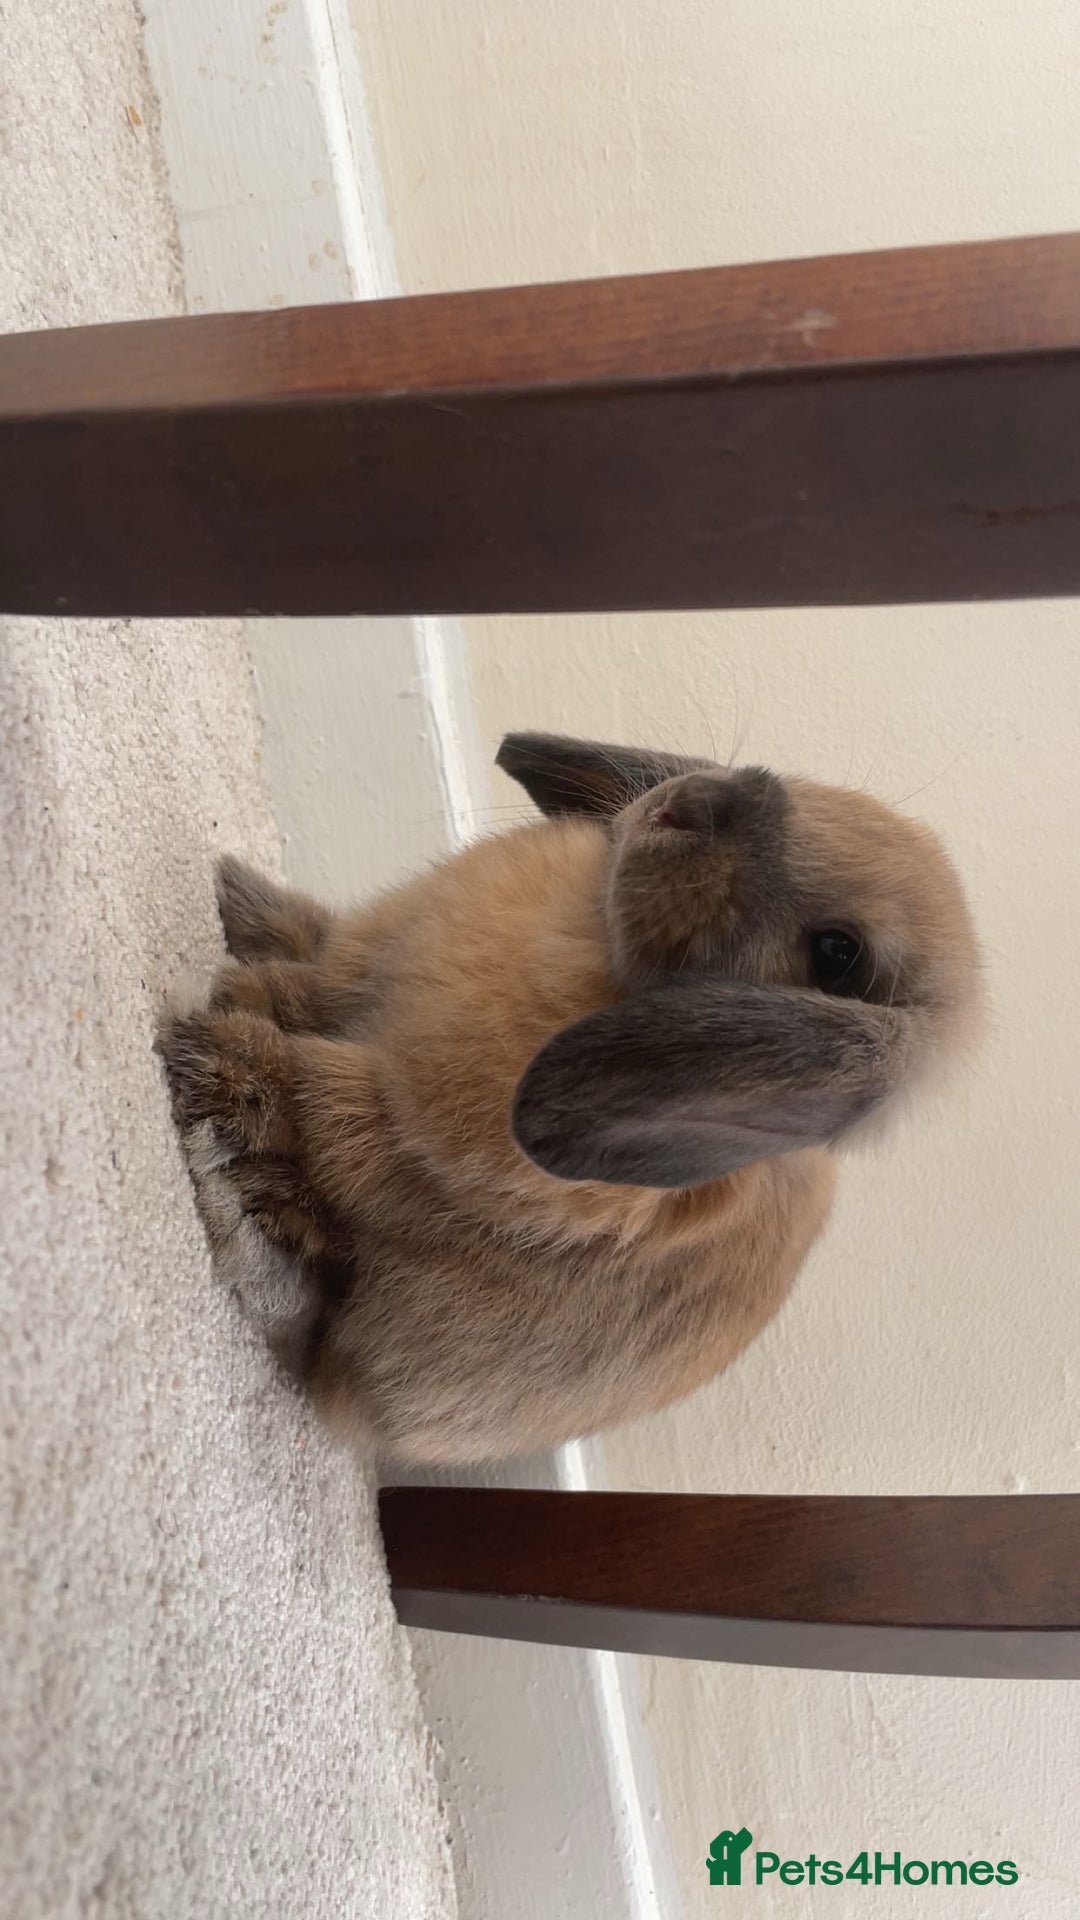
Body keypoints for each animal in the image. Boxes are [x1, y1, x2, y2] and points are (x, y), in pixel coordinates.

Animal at [157, 731, 982, 1464]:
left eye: (838, 954)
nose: (690, 805)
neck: (595, 946)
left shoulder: (397, 1132)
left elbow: (311, 1096)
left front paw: (211, 1047)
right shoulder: (358, 973)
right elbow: (309, 985)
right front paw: (238, 953)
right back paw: (245, 903)